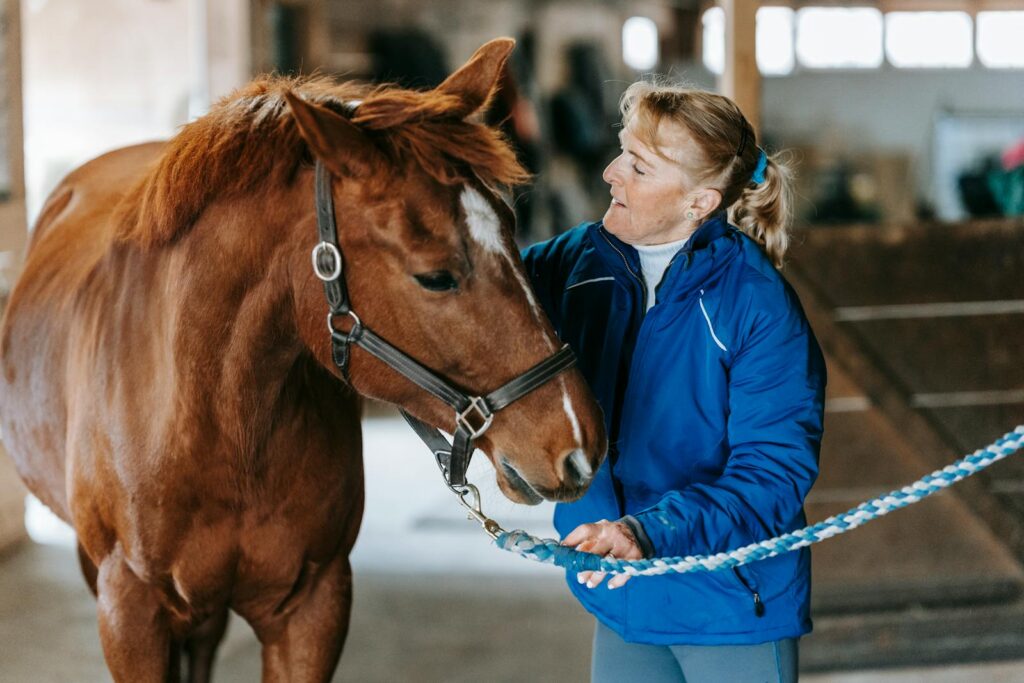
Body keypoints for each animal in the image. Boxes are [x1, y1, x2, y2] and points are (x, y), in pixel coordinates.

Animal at [0, 38, 607, 682]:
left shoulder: (314, 606)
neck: (217, 426)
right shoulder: (130, 615)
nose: (580, 446)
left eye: (516, 233)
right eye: (436, 277)